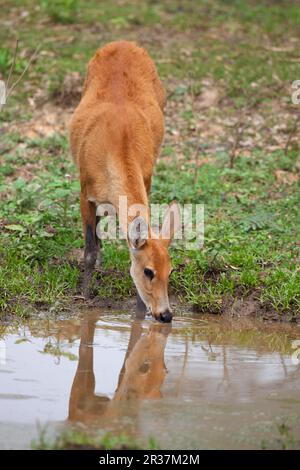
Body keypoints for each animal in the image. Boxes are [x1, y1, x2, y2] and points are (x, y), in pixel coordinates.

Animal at [69, 41, 179, 324]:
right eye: (149, 271)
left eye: (171, 270)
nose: (165, 314)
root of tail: (124, 43)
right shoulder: (85, 190)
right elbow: (89, 251)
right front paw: (84, 295)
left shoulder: (146, 179)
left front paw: (139, 310)